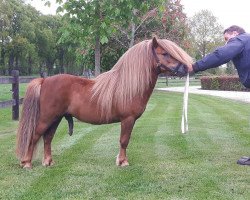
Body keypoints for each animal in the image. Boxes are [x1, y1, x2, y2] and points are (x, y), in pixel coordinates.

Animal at [15, 36, 192, 168]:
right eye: (164, 53)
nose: (185, 68)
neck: (128, 85)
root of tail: (44, 80)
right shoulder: (127, 119)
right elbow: (124, 140)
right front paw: (123, 162)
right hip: (47, 118)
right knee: (35, 136)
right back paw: (27, 163)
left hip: (56, 118)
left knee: (48, 138)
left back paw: (48, 162)